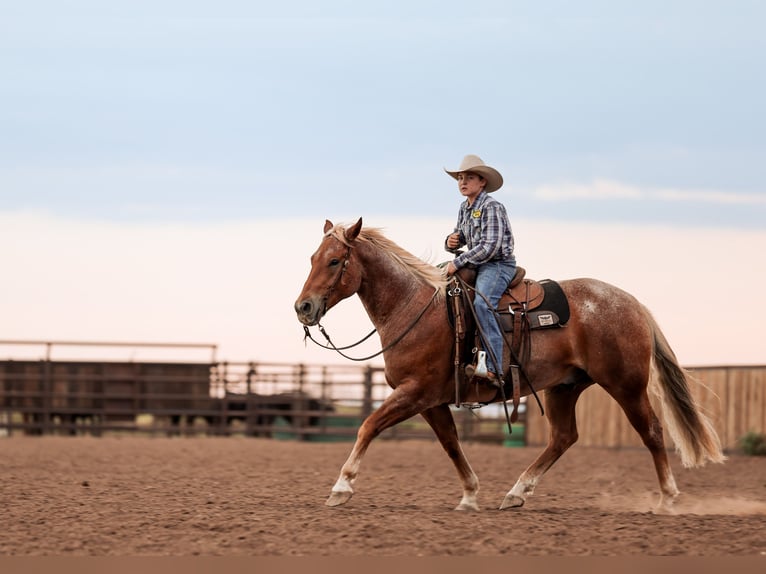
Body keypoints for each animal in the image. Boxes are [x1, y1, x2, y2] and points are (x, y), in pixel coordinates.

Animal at [294, 218, 725, 512]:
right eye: (312, 258)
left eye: (335, 261)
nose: (304, 307)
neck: (414, 308)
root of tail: (633, 303)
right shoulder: (431, 401)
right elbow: (451, 445)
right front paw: (470, 495)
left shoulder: (414, 392)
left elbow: (368, 426)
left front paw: (341, 487)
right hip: (564, 387)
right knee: (563, 437)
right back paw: (516, 493)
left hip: (626, 384)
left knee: (651, 431)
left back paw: (667, 498)